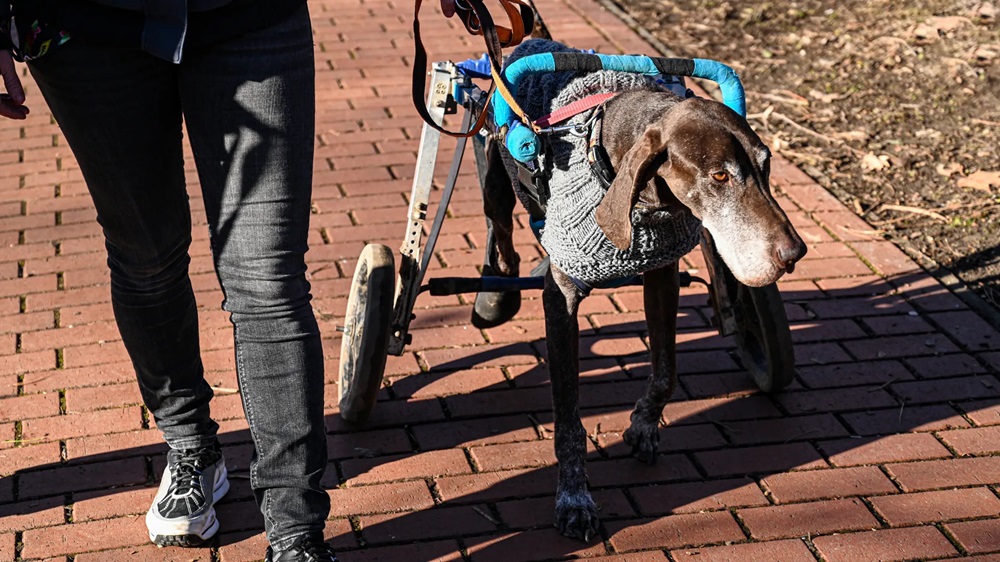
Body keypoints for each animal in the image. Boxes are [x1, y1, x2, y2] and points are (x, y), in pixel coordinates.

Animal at [474, 76, 804, 536]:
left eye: (766, 165)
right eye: (720, 175)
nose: (795, 253)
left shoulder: (662, 276)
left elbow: (666, 373)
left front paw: (644, 424)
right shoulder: (562, 300)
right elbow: (568, 417)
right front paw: (574, 497)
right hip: (497, 178)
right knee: (501, 235)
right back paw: (498, 292)